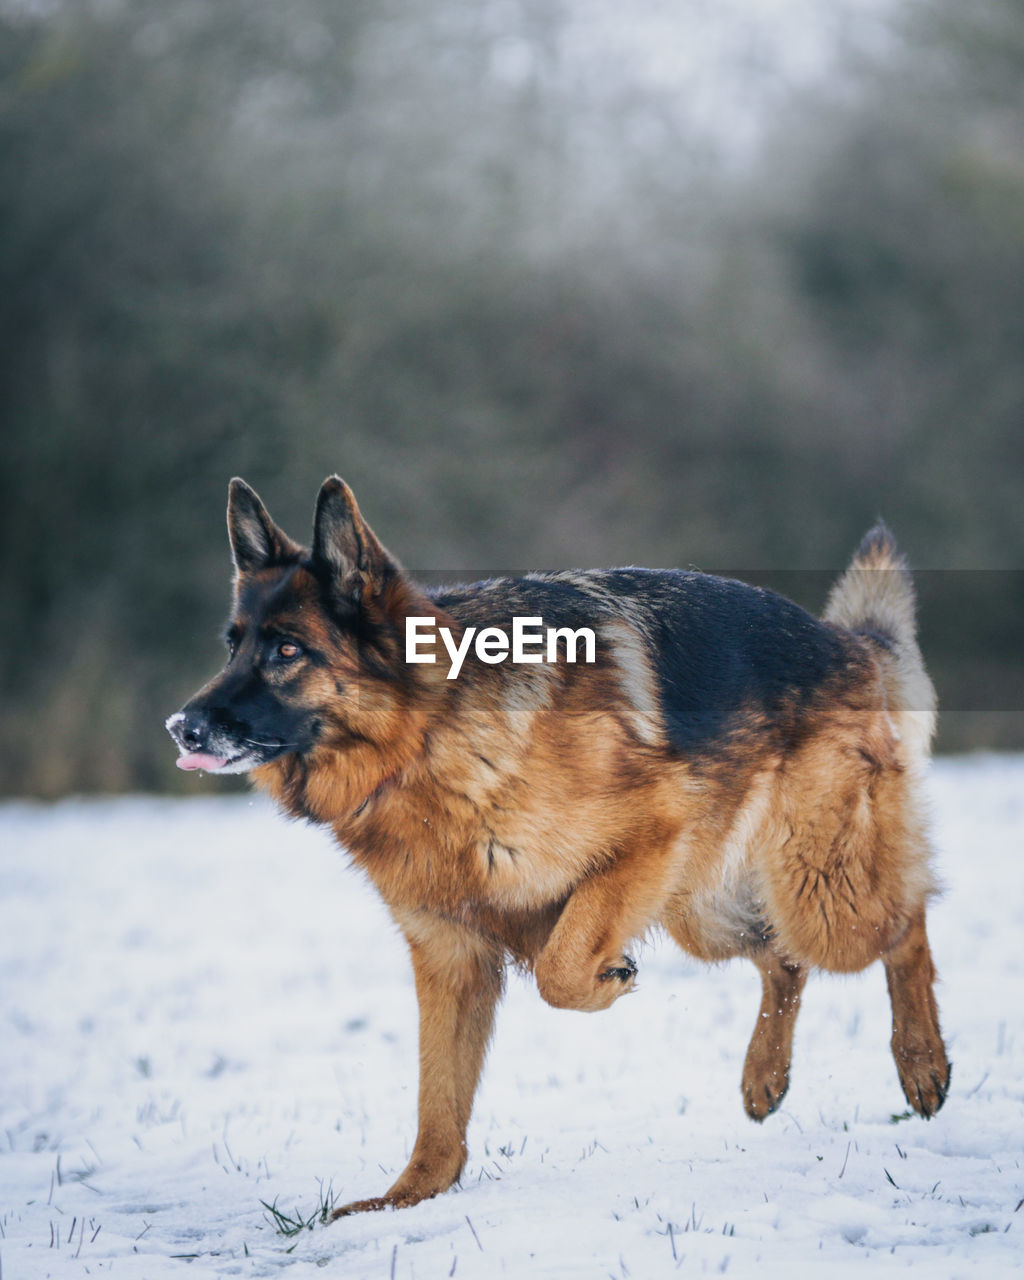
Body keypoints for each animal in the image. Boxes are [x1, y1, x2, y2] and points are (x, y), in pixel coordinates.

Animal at [163, 476, 947, 1213]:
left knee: (903, 924)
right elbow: (437, 1101)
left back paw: (921, 1063)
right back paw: (766, 1076)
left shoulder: (644, 841)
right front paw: (407, 1200)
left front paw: (608, 980)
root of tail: (848, 644)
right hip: (704, 911)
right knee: (781, 961)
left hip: (820, 895)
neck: (428, 736)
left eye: (287, 651)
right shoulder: (451, 959)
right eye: (233, 645)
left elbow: (557, 970)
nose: (180, 727)